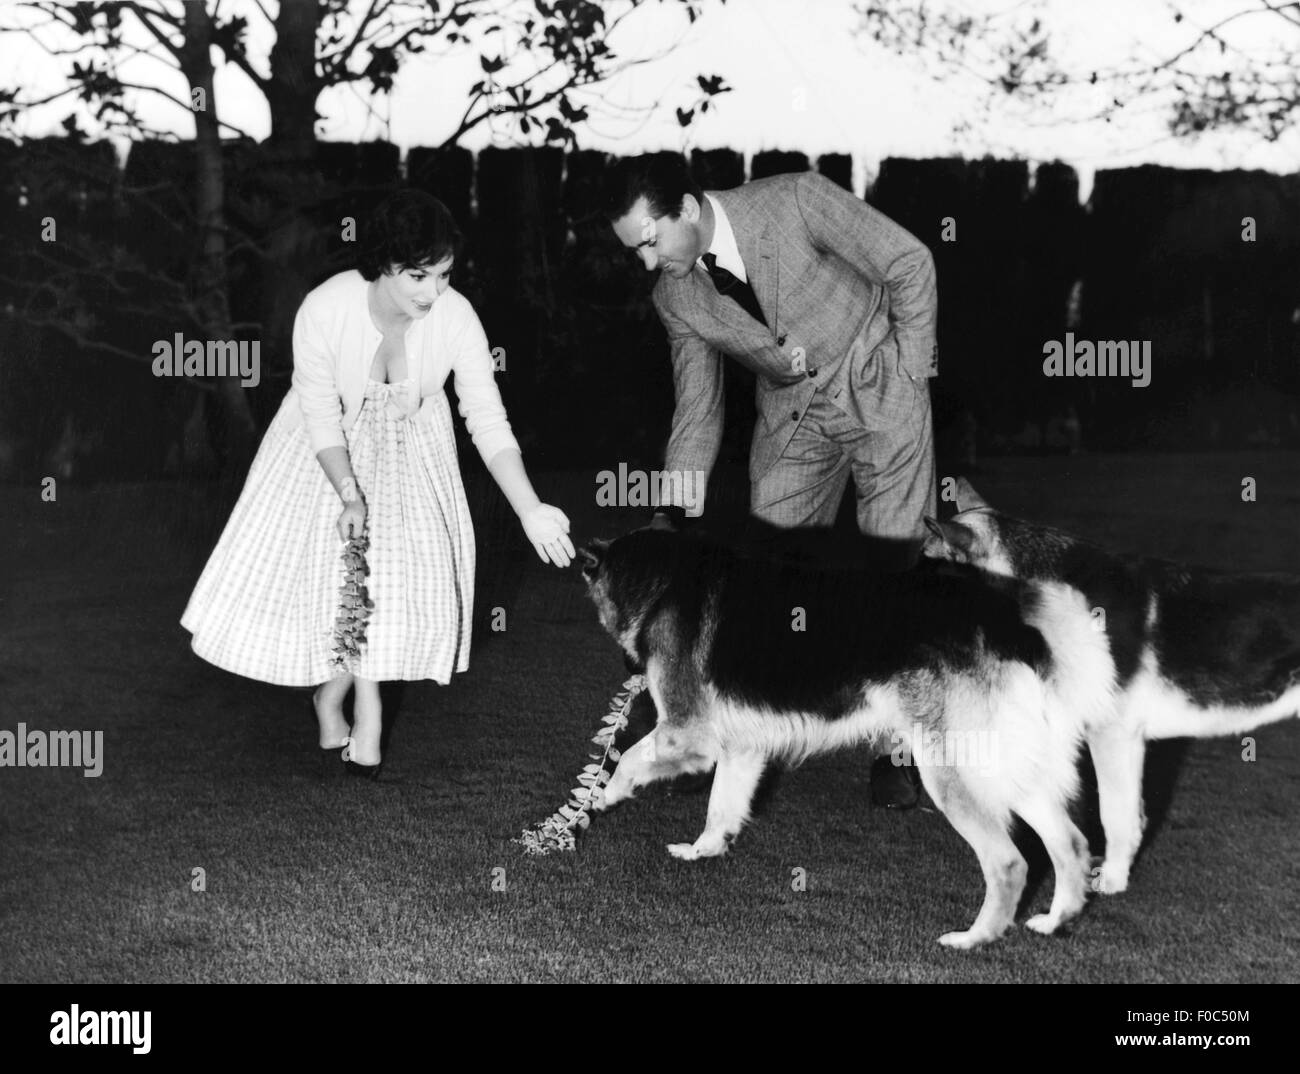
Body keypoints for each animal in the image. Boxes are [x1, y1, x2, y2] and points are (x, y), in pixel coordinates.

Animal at [585, 527, 1112, 946]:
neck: (661, 582)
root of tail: (1015, 623)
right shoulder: (743, 747)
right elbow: (721, 807)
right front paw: (703, 850)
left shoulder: (683, 733)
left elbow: (627, 759)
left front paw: (600, 800)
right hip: (1008, 767)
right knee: (1072, 844)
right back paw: (1054, 921)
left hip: (952, 773)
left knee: (1009, 864)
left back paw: (973, 939)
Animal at [920, 481, 1300, 889]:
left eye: (924, 565)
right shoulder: (1127, 741)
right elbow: (1131, 816)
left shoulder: (1111, 735)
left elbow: (1114, 817)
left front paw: (1113, 882)